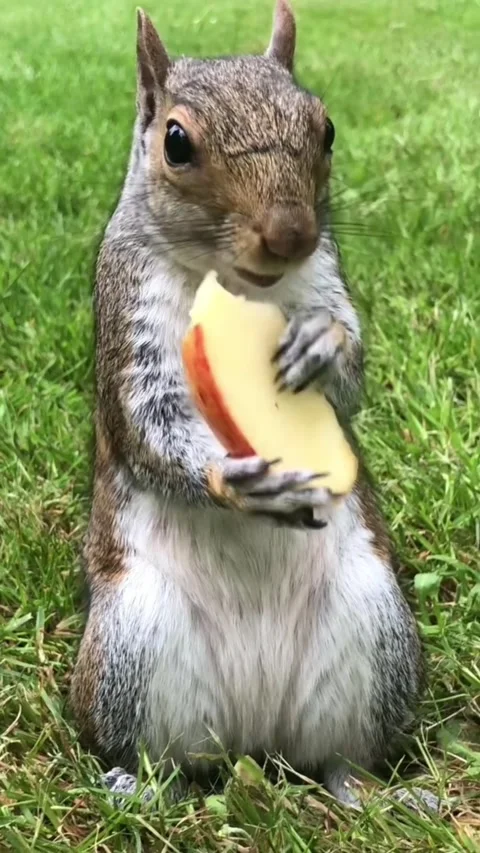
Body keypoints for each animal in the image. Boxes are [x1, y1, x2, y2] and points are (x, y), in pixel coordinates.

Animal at [71, 0, 426, 808]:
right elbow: (148, 422)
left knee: (342, 759)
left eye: (326, 128)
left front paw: (326, 344)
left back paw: (373, 791)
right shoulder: (128, 319)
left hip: (376, 626)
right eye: (176, 141)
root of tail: (256, 735)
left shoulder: (324, 276)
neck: (233, 282)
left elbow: (349, 380)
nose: (290, 233)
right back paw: (137, 788)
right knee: (168, 762)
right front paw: (235, 482)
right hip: (132, 648)